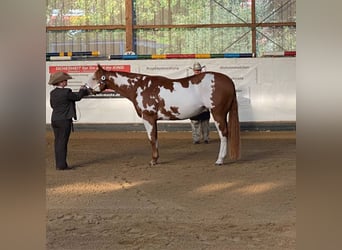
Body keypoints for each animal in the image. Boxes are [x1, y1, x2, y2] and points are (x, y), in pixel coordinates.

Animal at [88, 64, 240, 166]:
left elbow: (151, 138)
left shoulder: (148, 118)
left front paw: (153, 160)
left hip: (218, 113)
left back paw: (219, 160)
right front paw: (156, 159)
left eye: (94, 77)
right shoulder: (153, 120)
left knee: (224, 134)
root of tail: (228, 80)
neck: (139, 87)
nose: (84, 88)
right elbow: (155, 138)